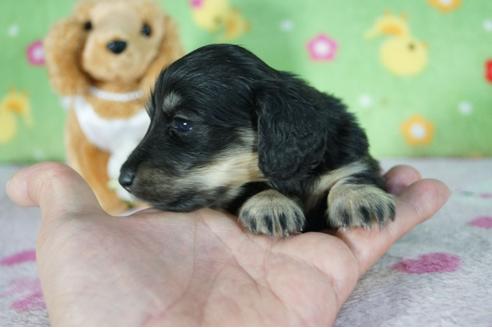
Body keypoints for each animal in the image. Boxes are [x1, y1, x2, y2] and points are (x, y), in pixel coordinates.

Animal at [119, 44, 396, 237]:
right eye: (151, 119)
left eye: (182, 123)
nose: (122, 179)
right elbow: (252, 186)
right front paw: (270, 205)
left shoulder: (353, 157)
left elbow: (353, 174)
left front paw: (361, 199)